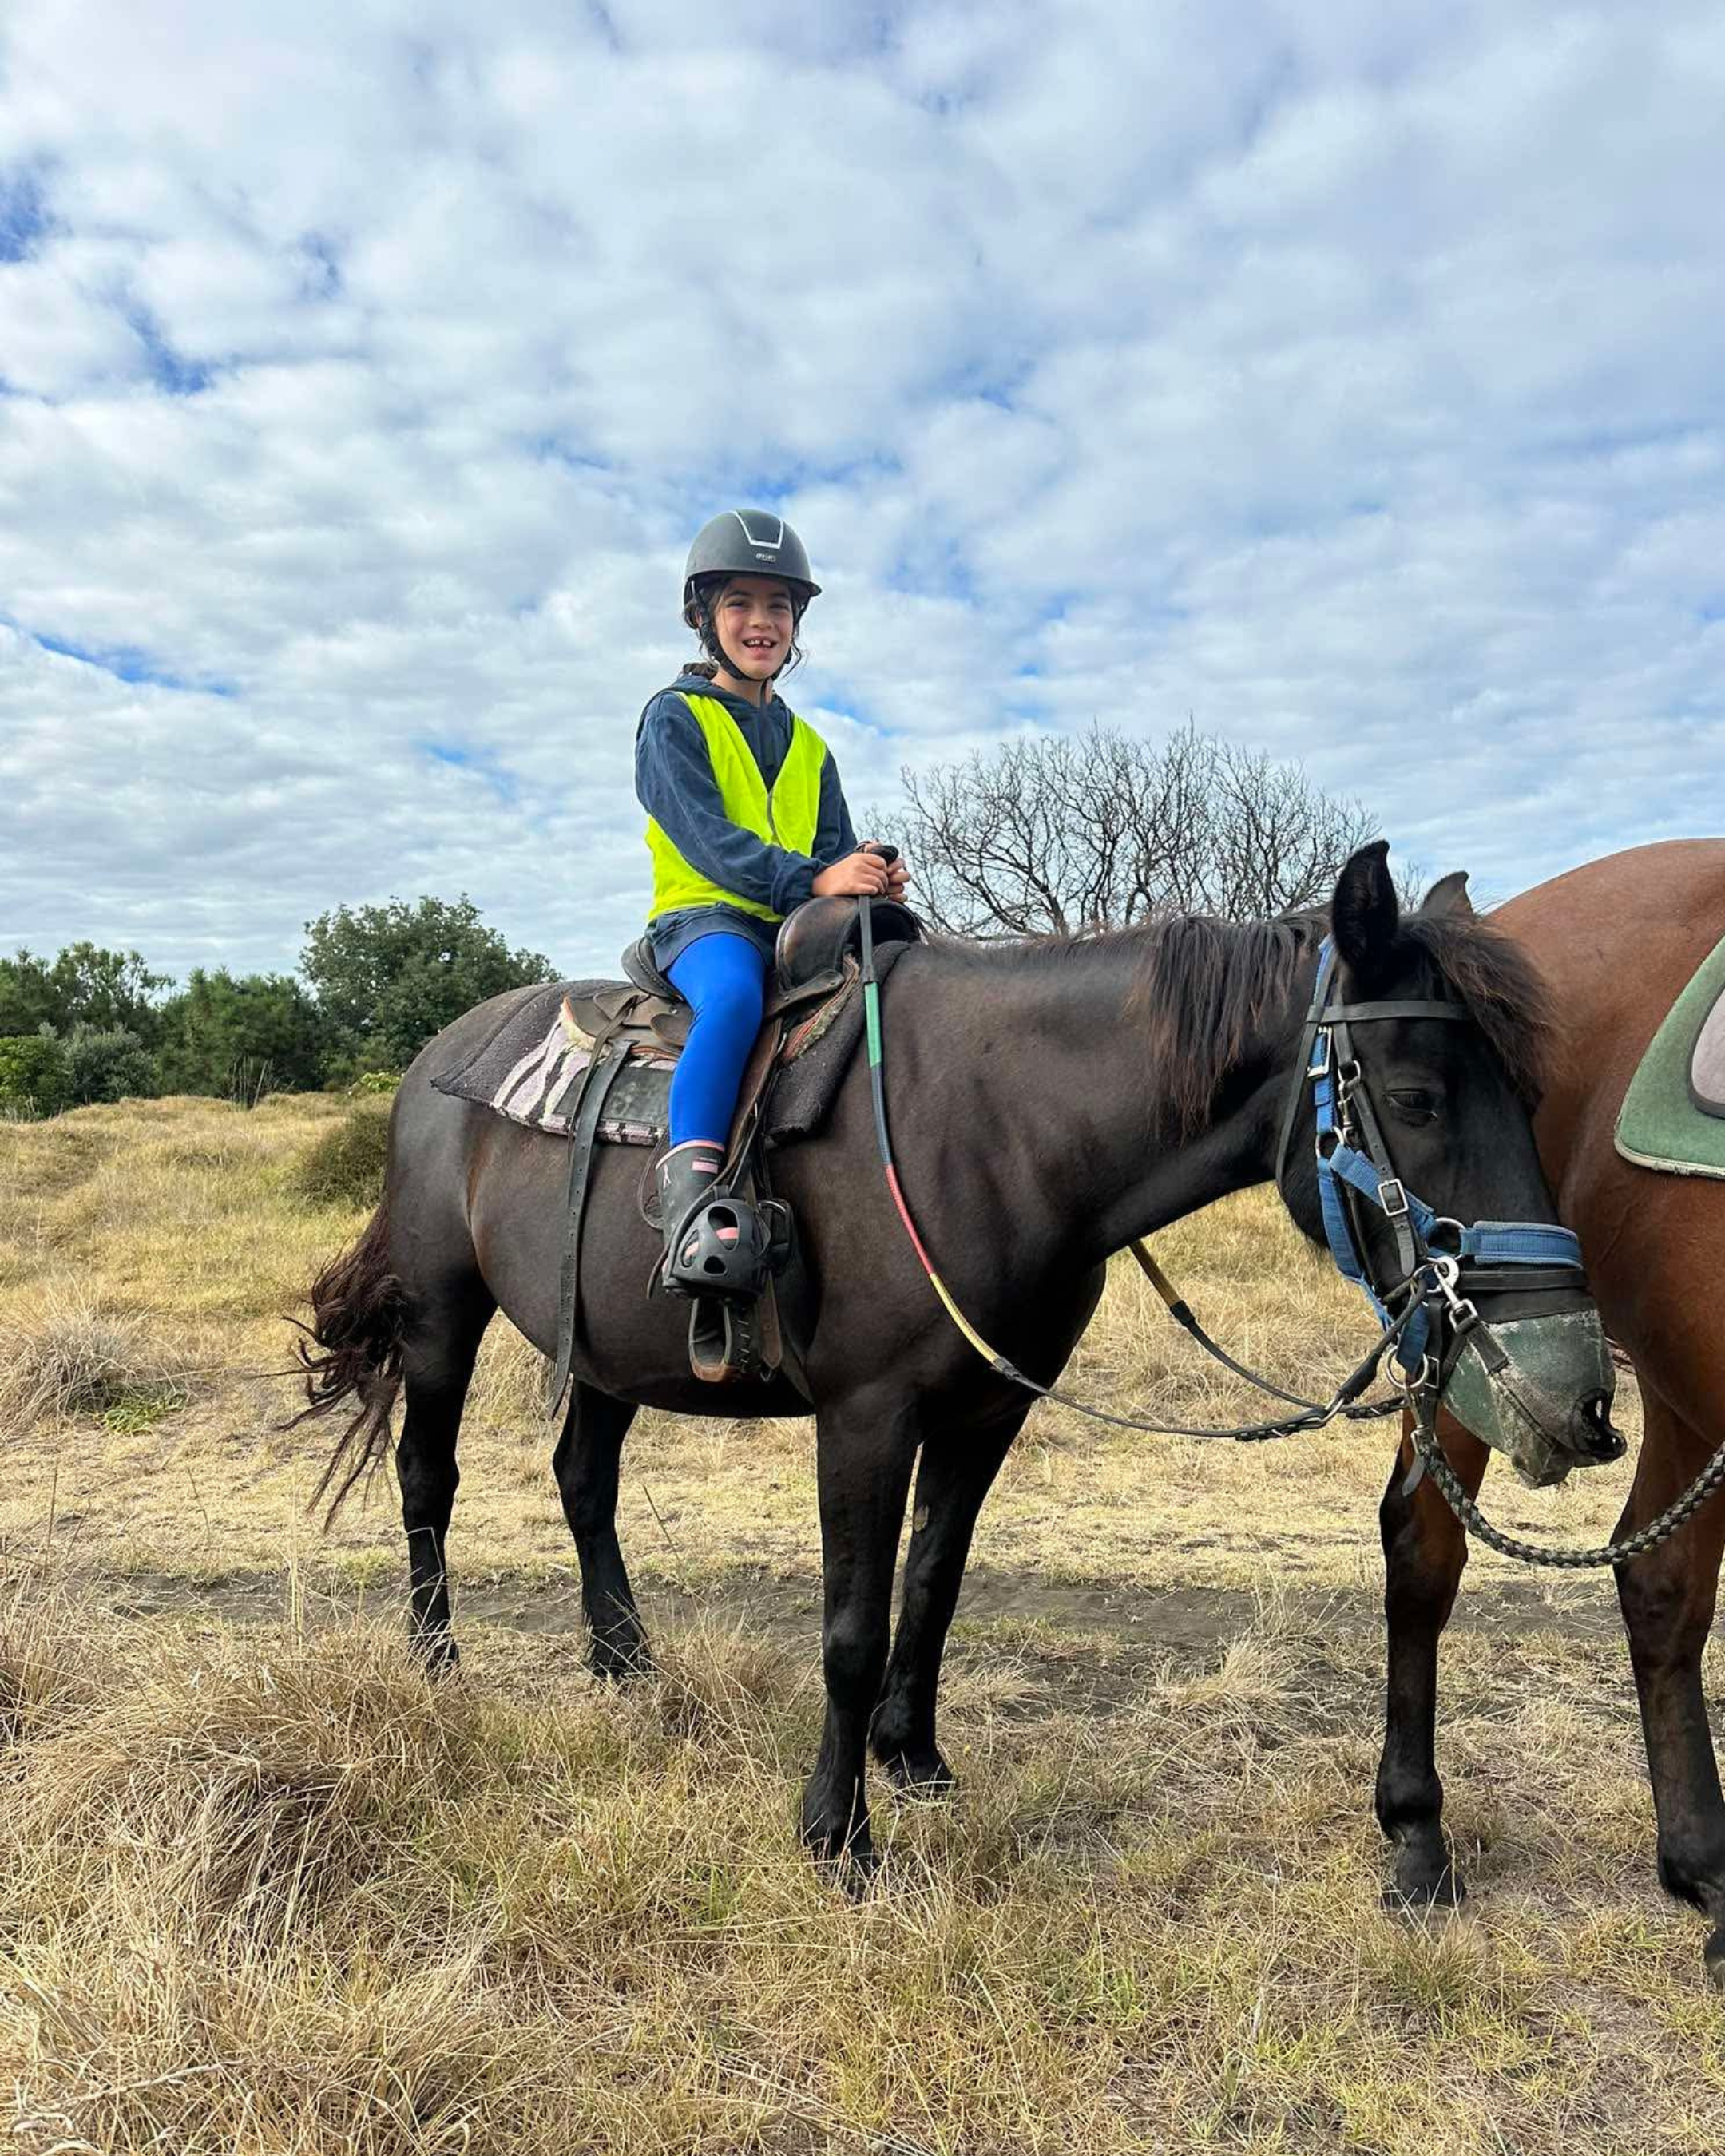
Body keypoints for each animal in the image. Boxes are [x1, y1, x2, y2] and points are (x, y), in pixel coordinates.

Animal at [295, 841, 1612, 1877]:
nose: (1578, 1393)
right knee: (428, 1476)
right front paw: (835, 1835)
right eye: (1418, 1095)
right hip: (442, 1316)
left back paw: (625, 1663)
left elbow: (931, 1585)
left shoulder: (984, 1413)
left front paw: (913, 1758)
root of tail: (438, 1059)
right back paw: (438, 1663)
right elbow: (850, 1622)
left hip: (616, 1350)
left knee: (583, 1476)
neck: (993, 1128)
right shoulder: (865, 1416)